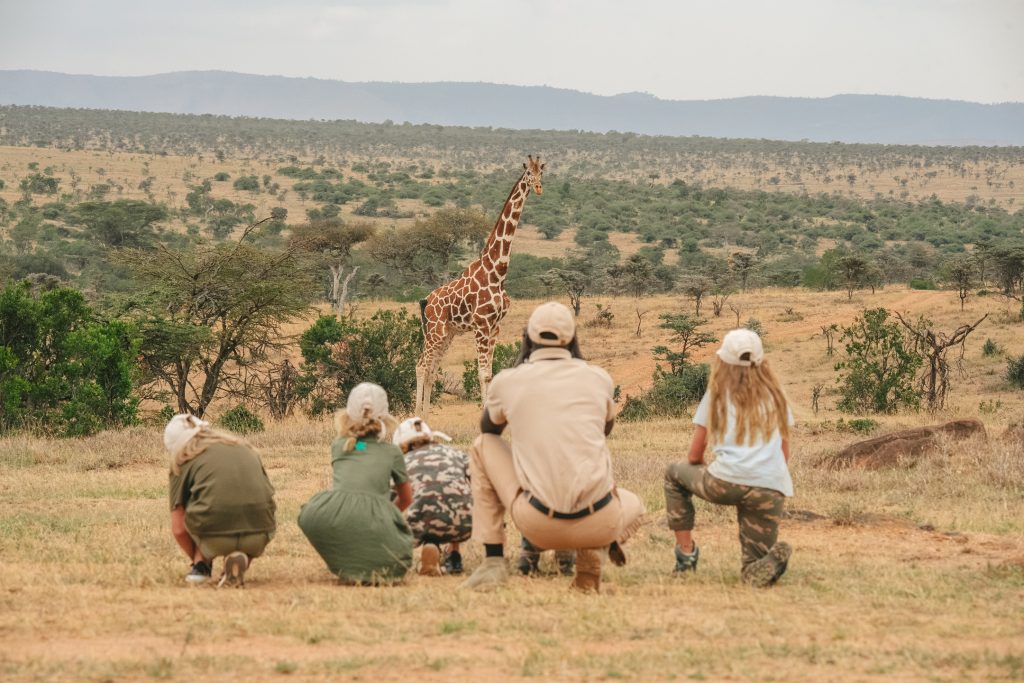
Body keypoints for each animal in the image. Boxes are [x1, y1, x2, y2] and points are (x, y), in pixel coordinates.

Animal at [414, 155, 544, 416]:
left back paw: (426, 414)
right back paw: (416, 413)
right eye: (528, 174)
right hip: (436, 331)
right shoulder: (482, 325)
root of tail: (427, 301)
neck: (497, 271)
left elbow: (490, 374)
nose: (537, 188)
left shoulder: (495, 327)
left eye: (542, 172)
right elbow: (483, 373)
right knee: (421, 365)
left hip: (447, 333)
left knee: (431, 368)